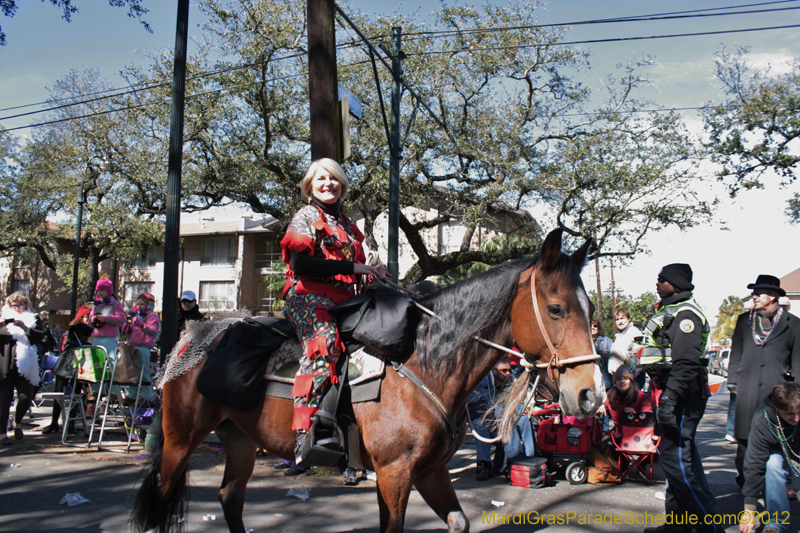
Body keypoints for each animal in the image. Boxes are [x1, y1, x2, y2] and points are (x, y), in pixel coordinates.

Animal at [131, 228, 604, 532]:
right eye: (557, 308)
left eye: (592, 309)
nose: (589, 395)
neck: (425, 364)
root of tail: (190, 338)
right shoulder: (394, 473)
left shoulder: (429, 472)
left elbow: (459, 522)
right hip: (180, 438)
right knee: (163, 495)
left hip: (239, 437)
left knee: (230, 498)